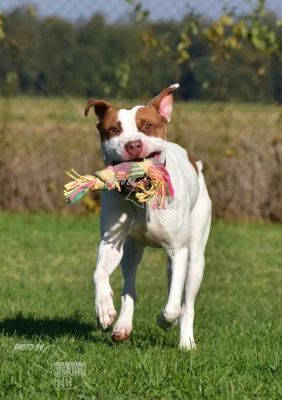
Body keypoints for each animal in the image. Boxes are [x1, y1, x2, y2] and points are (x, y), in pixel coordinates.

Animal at [86, 85, 212, 350]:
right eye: (114, 129)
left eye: (147, 126)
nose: (133, 145)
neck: (142, 195)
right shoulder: (111, 243)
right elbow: (99, 273)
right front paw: (104, 308)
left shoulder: (179, 251)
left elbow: (174, 305)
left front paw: (166, 321)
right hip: (131, 250)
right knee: (130, 284)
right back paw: (122, 326)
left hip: (196, 255)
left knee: (187, 300)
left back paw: (186, 341)